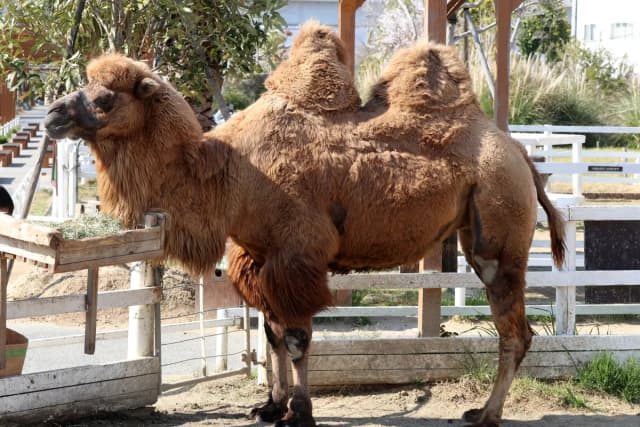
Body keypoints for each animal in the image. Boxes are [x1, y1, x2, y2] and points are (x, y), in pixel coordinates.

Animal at [44, 22, 565, 427]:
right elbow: (272, 335)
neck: (230, 174)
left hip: (499, 234)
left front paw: (302, 411)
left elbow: (297, 340)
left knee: (514, 331)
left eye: (105, 98)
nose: (52, 114)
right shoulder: (259, 257)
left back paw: (486, 414)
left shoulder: (298, 254)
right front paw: (269, 407)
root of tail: (520, 154)